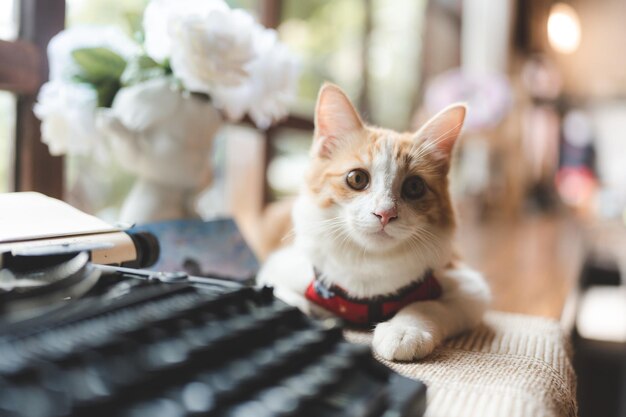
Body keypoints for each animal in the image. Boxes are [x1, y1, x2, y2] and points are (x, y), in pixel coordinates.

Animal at [256, 83, 490, 360]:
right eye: (357, 178)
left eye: (414, 187)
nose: (385, 213)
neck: (369, 264)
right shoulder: (279, 269)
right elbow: (283, 298)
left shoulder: (470, 288)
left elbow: (427, 305)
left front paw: (404, 330)